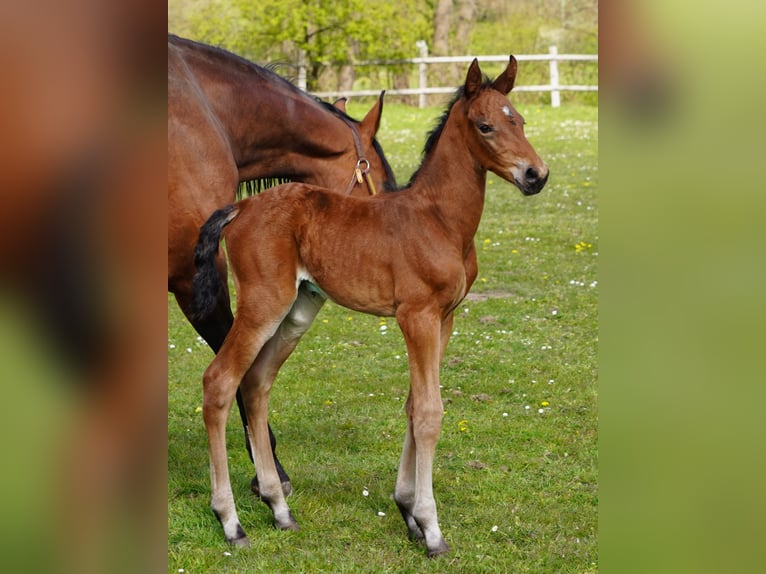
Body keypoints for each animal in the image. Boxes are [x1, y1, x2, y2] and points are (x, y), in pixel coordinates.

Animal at [194, 57, 552, 560]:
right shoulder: (416, 316)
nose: (536, 175)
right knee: (221, 382)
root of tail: (241, 207)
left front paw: (407, 510)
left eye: (518, 120)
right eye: (485, 126)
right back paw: (230, 522)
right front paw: (431, 528)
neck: (440, 220)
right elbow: (429, 411)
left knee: (257, 383)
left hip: (298, 310)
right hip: (264, 303)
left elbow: (413, 404)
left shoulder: (445, 318)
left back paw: (279, 509)